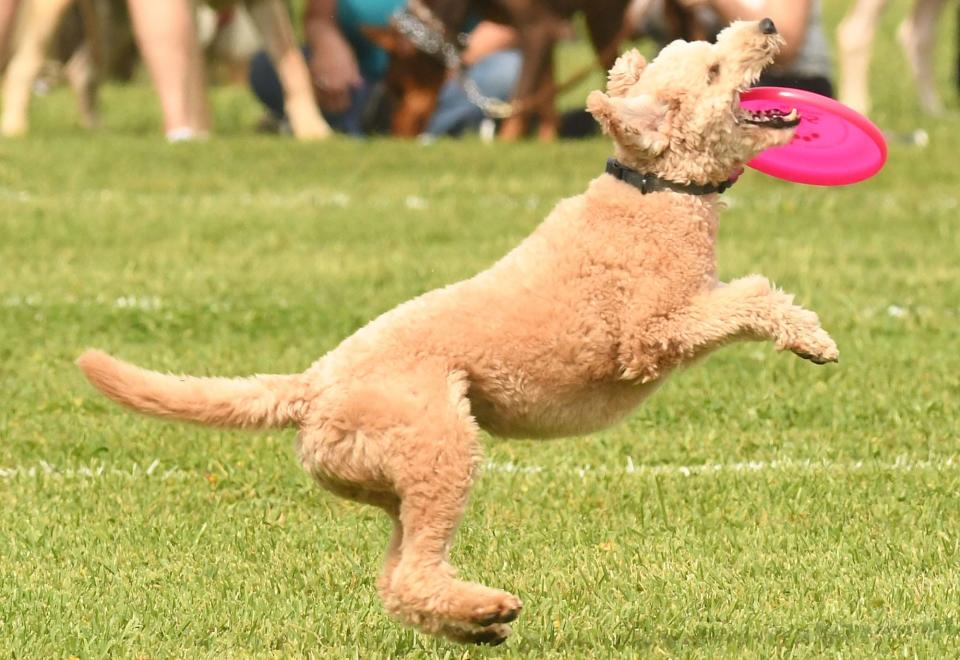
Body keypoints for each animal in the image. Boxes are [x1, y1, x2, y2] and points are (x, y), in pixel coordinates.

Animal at [79, 19, 836, 644]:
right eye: (712, 68)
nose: (769, 23)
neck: (654, 190)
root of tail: (312, 384)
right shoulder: (653, 333)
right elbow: (747, 298)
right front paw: (810, 337)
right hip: (440, 444)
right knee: (413, 571)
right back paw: (487, 609)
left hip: (392, 478)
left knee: (395, 581)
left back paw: (472, 624)